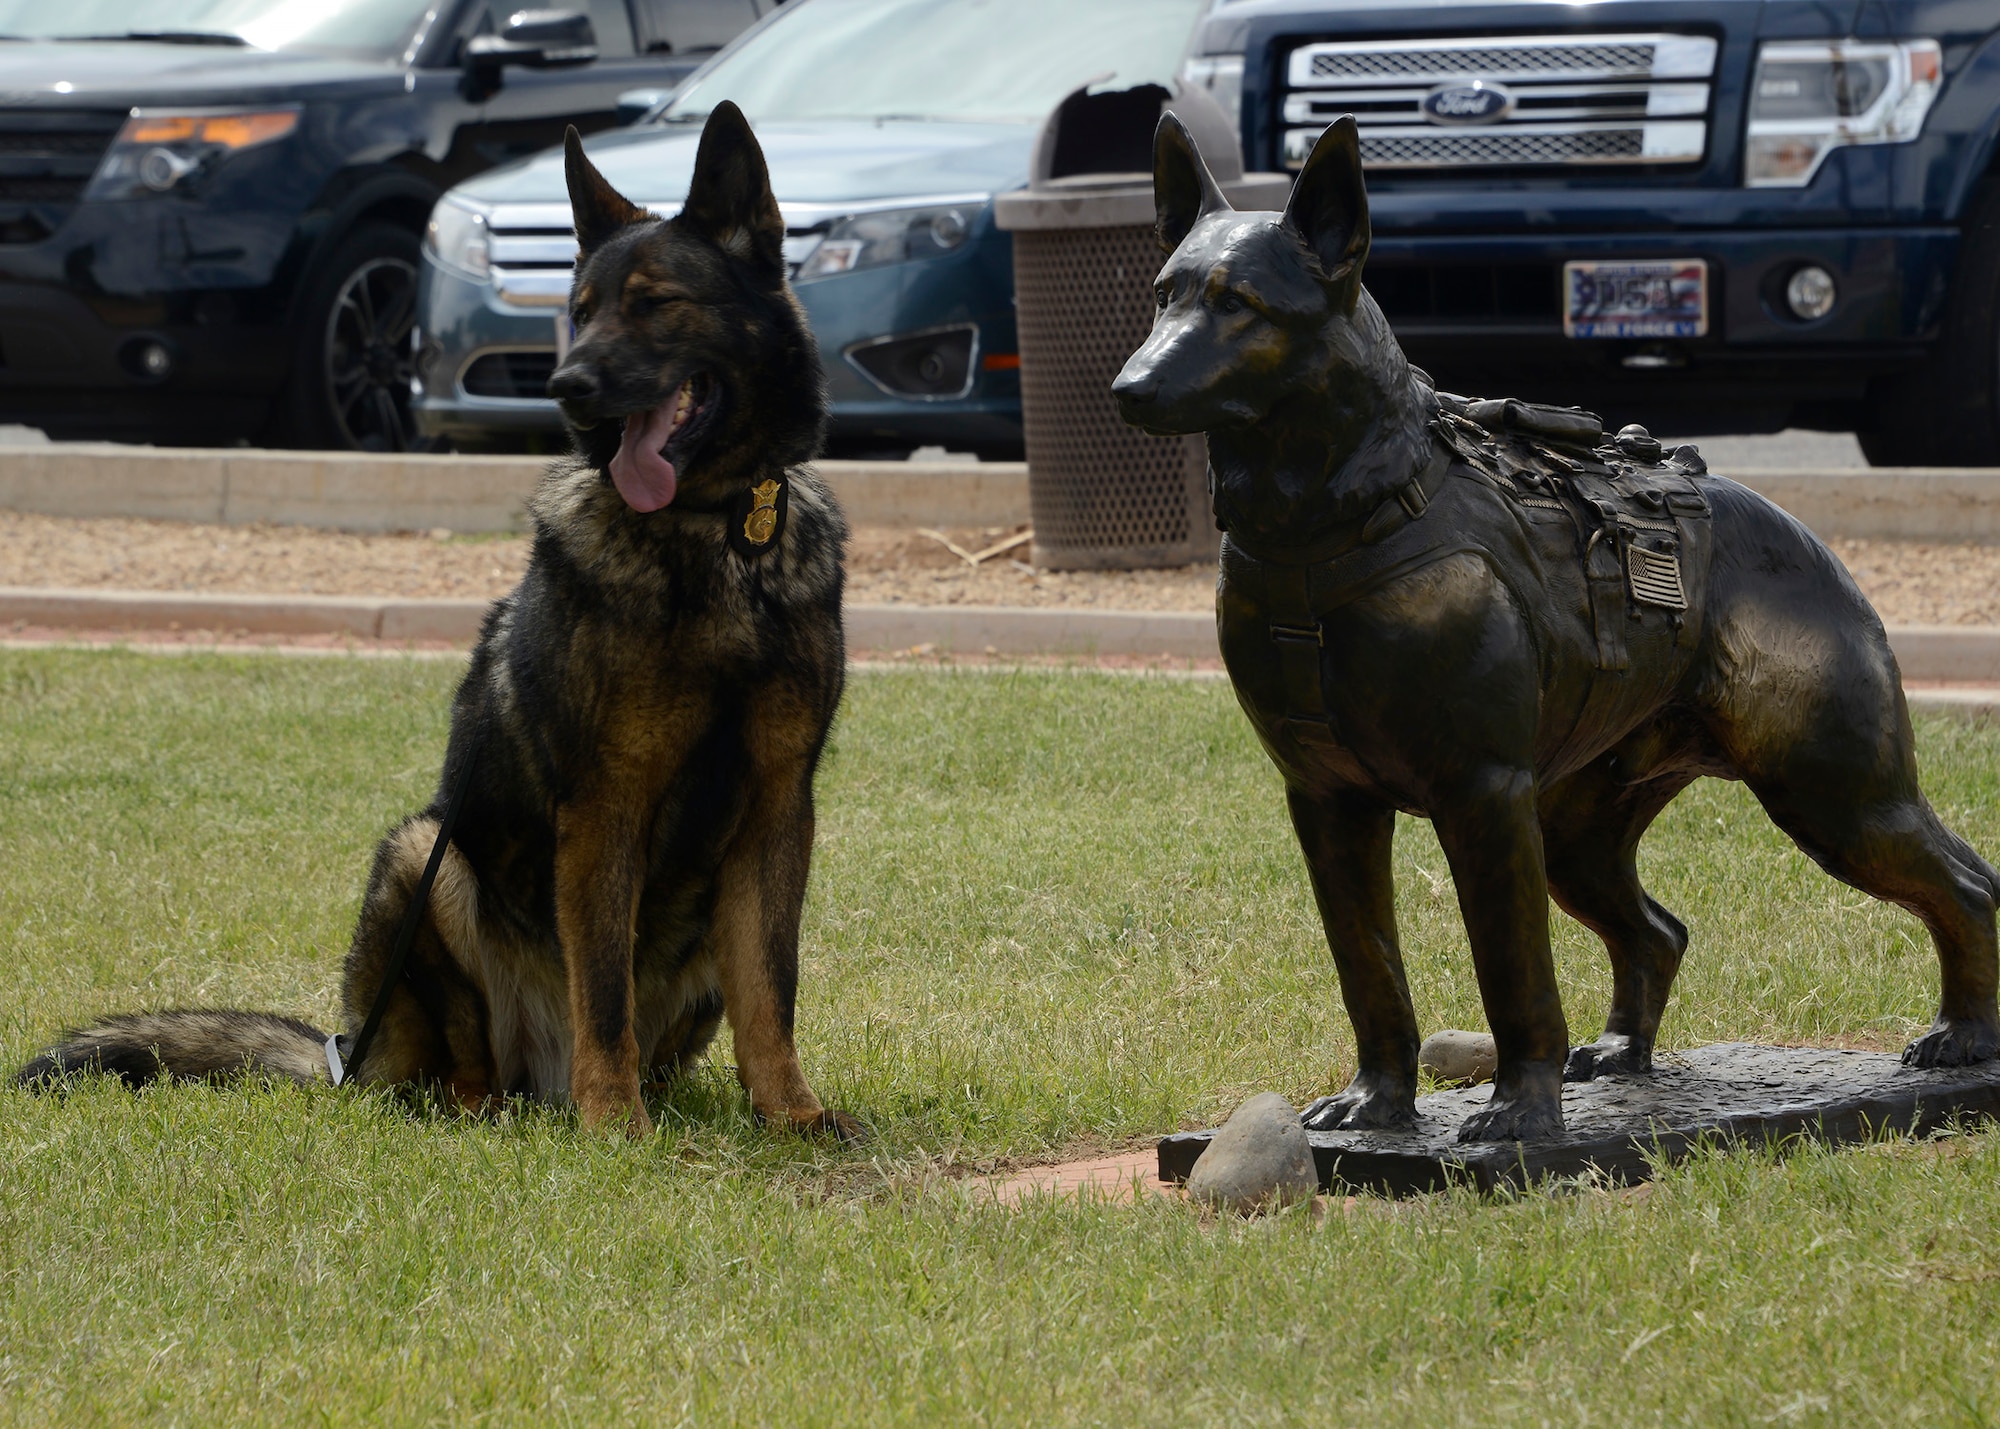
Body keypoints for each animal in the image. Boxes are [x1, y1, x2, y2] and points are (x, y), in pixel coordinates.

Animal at [17, 103, 860, 1136]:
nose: (565, 386)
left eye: (656, 303)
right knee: (464, 1069)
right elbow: (605, 994)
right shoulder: (603, 805)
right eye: (581, 310)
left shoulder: (781, 808)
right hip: (423, 858)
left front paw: (791, 1112)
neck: (712, 534)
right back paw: (509, 1109)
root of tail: (349, 1053)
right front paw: (614, 1123)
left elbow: (770, 987)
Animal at [1112, 114, 2000, 1136]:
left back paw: (1966, 1039)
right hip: (1582, 833)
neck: (1334, 520)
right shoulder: (1327, 802)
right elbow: (1368, 967)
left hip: (1833, 795)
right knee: (1660, 931)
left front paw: (1521, 1116)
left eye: (1242, 304)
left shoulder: (1484, 795)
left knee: (1967, 886)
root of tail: (1816, 545)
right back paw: (1624, 1055)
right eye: (1165, 295)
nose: (1128, 388)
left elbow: (1513, 969)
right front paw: (1378, 1100)